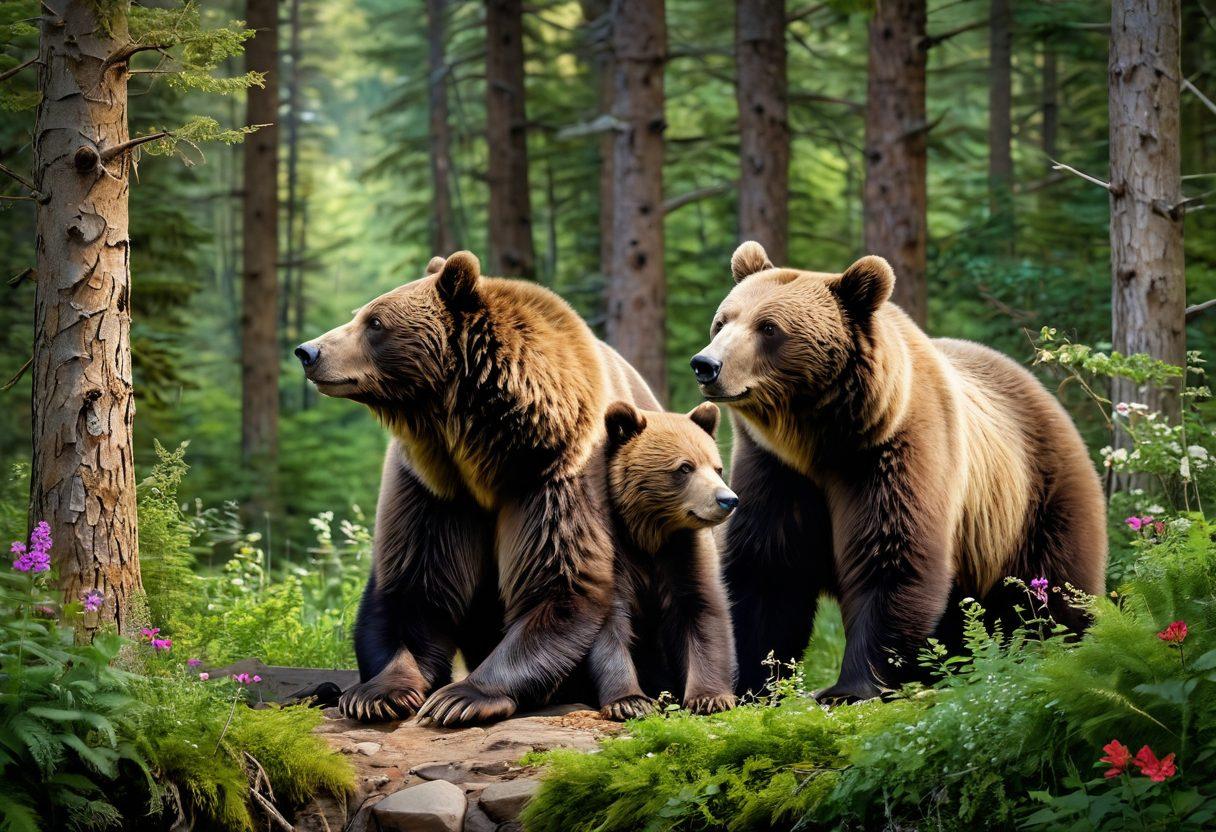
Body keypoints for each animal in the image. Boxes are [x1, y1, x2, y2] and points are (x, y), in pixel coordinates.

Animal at [295, 250, 660, 725]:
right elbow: (414, 587)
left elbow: (558, 583)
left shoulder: (553, 473)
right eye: (358, 314)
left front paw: (460, 697)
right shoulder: (432, 485)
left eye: (374, 322)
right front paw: (377, 694)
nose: (308, 351)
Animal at [588, 401, 739, 720]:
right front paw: (629, 701)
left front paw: (710, 698)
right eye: (684, 467)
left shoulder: (684, 553)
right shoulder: (615, 552)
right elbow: (608, 623)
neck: (649, 533)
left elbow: (704, 611)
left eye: (717, 467)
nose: (728, 500)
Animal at [689, 241, 1108, 702]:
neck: (820, 440)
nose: (706, 364)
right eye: (722, 321)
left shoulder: (891, 454)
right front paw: (747, 683)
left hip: (1033, 498)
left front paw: (847, 687)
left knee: (1052, 584)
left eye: (768, 328)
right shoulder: (774, 471)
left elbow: (891, 556)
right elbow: (765, 568)